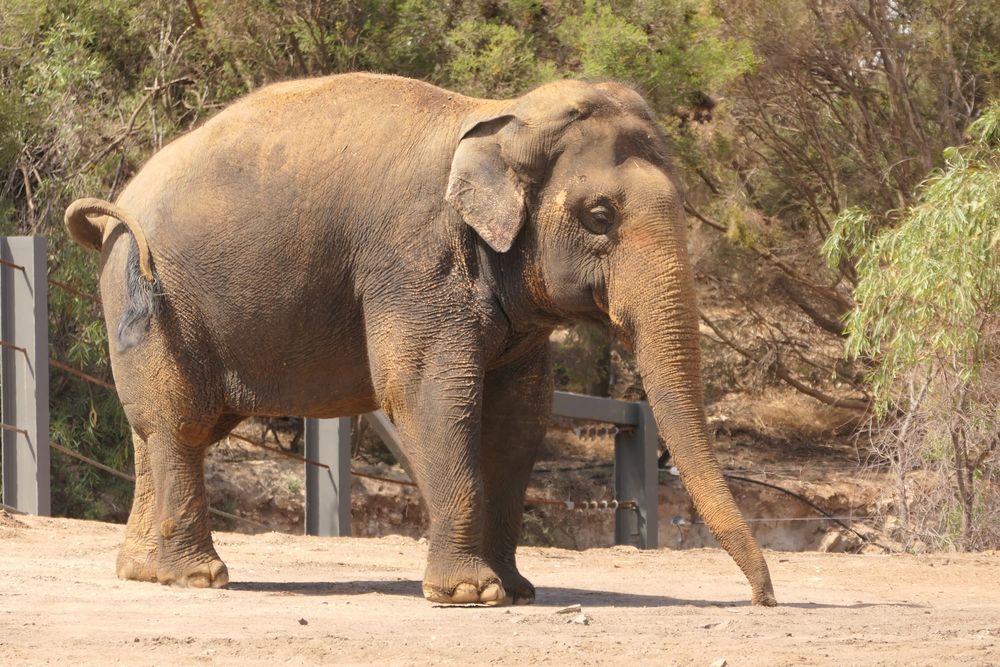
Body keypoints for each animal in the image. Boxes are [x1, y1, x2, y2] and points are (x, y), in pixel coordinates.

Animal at [65, 72, 776, 607]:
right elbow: (430, 393)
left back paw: (144, 572)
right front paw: (470, 596)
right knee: (181, 425)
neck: (499, 118)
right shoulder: (414, 262)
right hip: (154, 301)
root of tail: (115, 207)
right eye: (599, 216)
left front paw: (517, 591)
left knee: (156, 429)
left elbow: (521, 414)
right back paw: (199, 578)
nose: (763, 600)